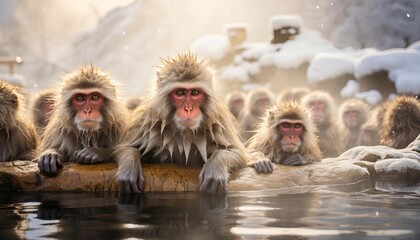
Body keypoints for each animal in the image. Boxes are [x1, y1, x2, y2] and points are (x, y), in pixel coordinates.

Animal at [113, 53, 248, 194]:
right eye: (180, 92)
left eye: (194, 92)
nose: (188, 109)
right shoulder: (147, 118)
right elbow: (124, 147)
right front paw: (129, 168)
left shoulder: (219, 120)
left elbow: (239, 154)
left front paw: (215, 167)